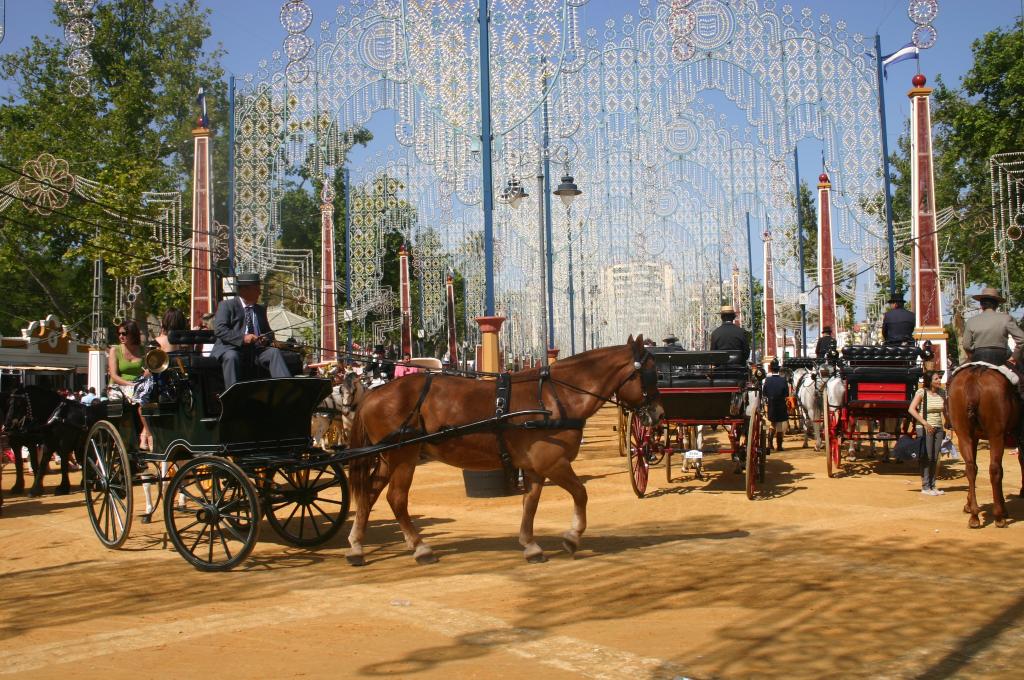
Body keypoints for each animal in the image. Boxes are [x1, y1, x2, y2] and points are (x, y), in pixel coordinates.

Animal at [346, 337, 663, 565]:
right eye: (652, 374)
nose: (657, 414)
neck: (557, 397)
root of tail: (374, 393)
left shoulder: (534, 468)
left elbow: (530, 504)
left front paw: (531, 546)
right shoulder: (553, 463)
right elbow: (580, 493)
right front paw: (572, 537)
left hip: (388, 458)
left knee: (368, 495)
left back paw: (357, 546)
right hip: (404, 458)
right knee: (396, 499)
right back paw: (420, 548)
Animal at [946, 364, 1019, 528]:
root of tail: (974, 376)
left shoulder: (973, 437)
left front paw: (968, 505)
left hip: (964, 435)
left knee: (970, 468)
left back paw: (974, 514)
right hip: (996, 435)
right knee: (995, 469)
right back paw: (998, 515)